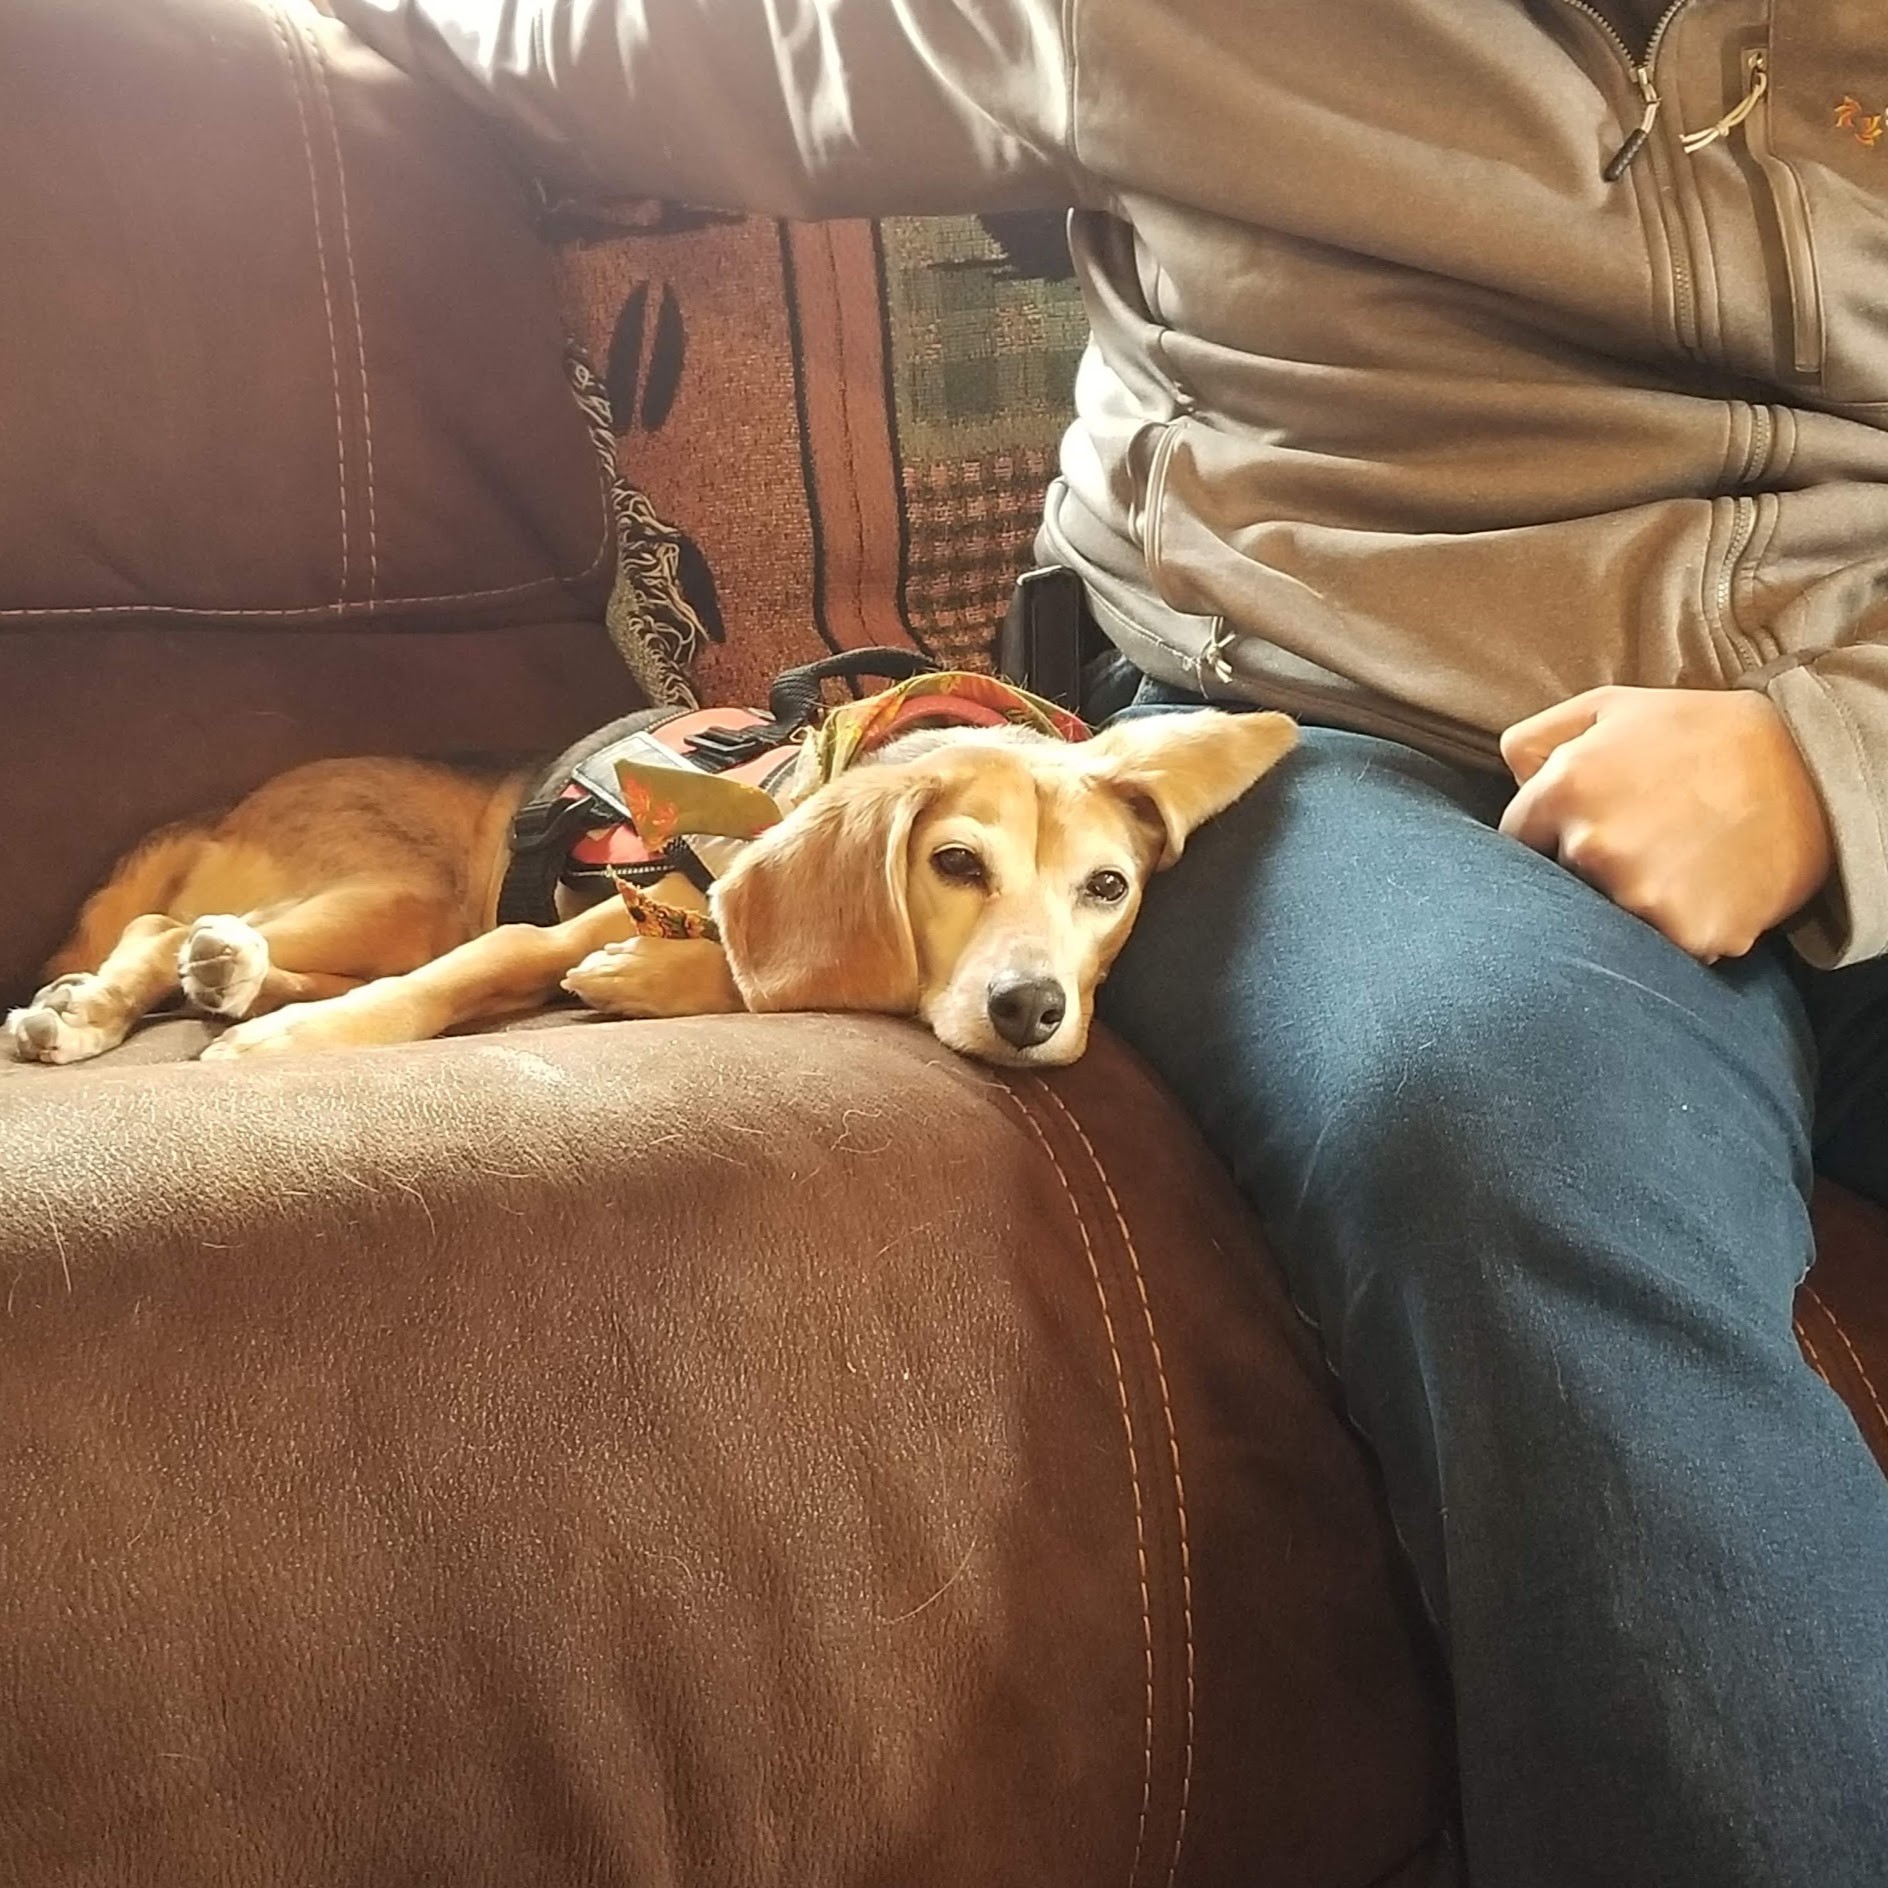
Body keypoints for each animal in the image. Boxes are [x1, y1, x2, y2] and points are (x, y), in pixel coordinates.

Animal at [7, 709, 1291, 1072]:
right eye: (956, 864)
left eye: (1106, 887)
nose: (1031, 1010)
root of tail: (217, 812)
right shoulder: (562, 918)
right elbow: (488, 965)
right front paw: (285, 1054)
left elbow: (747, 972)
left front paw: (650, 975)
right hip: (399, 892)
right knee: (167, 924)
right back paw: (100, 1010)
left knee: (225, 952)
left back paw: (226, 980)